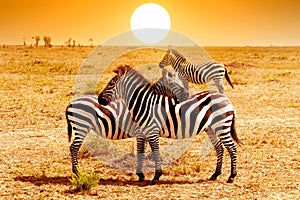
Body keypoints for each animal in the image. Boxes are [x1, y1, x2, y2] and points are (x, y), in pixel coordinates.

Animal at [98, 65, 244, 184]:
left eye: (111, 83)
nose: (99, 99)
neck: (146, 104)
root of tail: (225, 98)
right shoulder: (143, 132)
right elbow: (141, 151)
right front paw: (142, 175)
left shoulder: (151, 131)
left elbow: (154, 152)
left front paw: (156, 176)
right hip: (211, 128)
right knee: (220, 148)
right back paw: (215, 174)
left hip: (222, 126)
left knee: (232, 148)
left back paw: (231, 176)